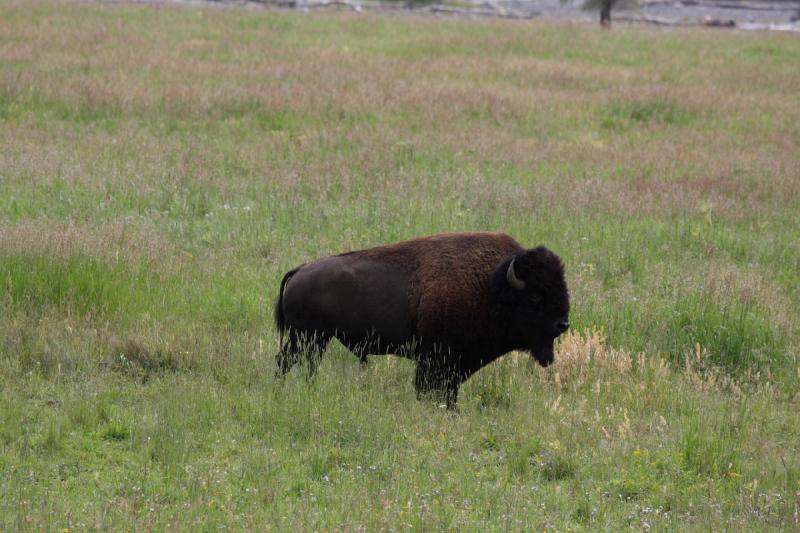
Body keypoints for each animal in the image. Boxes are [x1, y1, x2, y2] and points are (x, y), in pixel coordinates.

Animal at [276, 232, 568, 408]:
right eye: (535, 297)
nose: (562, 324)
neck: (489, 286)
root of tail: (299, 271)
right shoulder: (436, 358)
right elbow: (428, 388)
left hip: (315, 340)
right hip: (306, 338)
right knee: (288, 362)